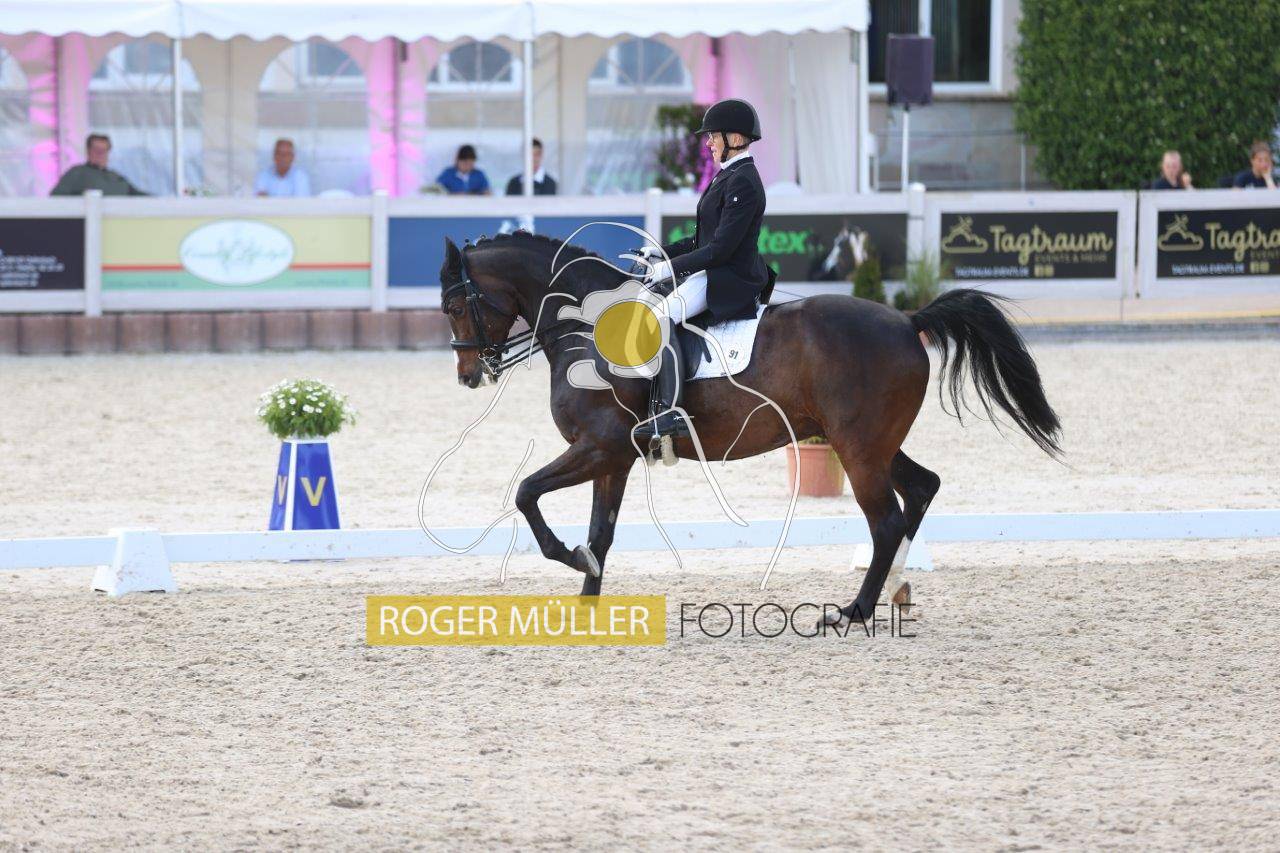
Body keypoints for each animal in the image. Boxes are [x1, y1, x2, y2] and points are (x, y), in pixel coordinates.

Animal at [439, 232, 1062, 626]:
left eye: (455, 305)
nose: (470, 374)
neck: (588, 330)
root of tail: (909, 322)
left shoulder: (599, 447)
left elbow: (526, 493)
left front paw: (568, 560)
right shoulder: (613, 458)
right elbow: (600, 534)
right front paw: (586, 603)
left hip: (858, 448)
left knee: (885, 521)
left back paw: (854, 611)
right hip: (871, 443)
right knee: (922, 488)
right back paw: (895, 592)